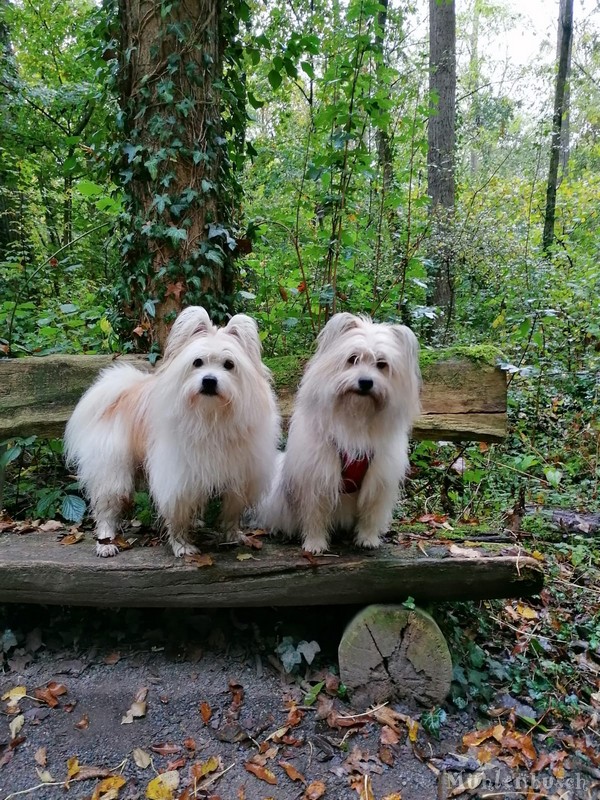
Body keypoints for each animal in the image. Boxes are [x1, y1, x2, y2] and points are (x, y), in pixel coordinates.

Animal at [64, 306, 280, 556]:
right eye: (197, 362)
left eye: (229, 364)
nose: (209, 380)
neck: (211, 416)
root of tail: (123, 390)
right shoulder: (177, 476)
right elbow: (178, 514)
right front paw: (182, 545)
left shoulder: (241, 475)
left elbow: (231, 511)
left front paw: (232, 535)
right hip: (112, 469)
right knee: (107, 506)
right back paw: (106, 542)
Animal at [260, 312, 420, 556]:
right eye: (352, 359)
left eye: (382, 364)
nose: (365, 382)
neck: (355, 416)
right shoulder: (318, 476)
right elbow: (315, 515)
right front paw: (315, 544)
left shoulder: (379, 479)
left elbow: (370, 514)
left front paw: (367, 538)